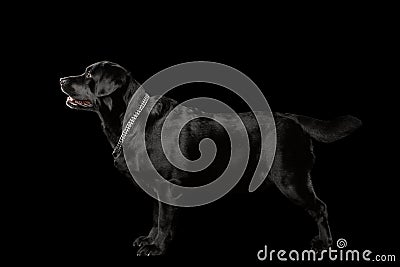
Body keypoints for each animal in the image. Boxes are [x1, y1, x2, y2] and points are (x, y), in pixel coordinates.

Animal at [60, 61, 362, 256]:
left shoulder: (167, 186)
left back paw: (325, 244)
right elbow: (156, 217)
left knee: (320, 207)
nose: (62, 80)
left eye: (89, 74)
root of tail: (294, 118)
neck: (131, 121)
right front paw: (149, 239)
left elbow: (164, 219)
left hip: (291, 179)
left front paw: (156, 246)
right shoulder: (155, 188)